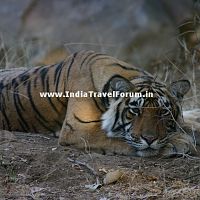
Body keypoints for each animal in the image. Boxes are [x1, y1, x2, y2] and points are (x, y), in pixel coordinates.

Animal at [0, 50, 197, 157]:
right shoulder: (79, 129)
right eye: (135, 110)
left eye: (163, 112)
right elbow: (117, 139)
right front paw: (177, 143)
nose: (150, 139)